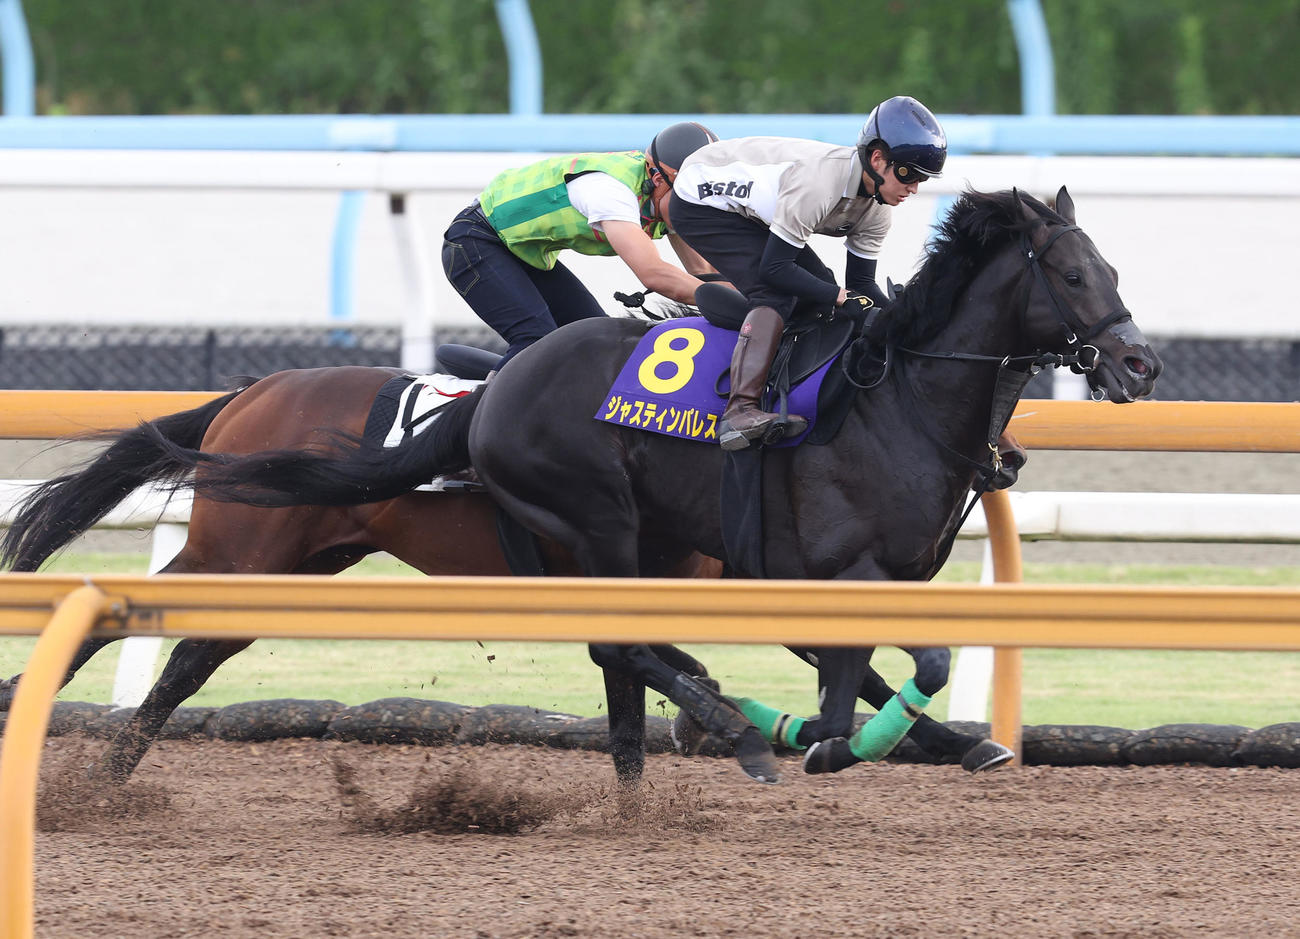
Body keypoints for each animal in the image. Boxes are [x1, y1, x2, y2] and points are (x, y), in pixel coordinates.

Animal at [124, 186, 1163, 783]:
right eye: (1073, 273)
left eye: (1114, 266)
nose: (1139, 364)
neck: (894, 398)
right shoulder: (815, 574)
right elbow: (882, 670)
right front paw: (821, 738)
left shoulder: (837, 583)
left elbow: (890, 668)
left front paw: (940, 740)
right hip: (570, 522)